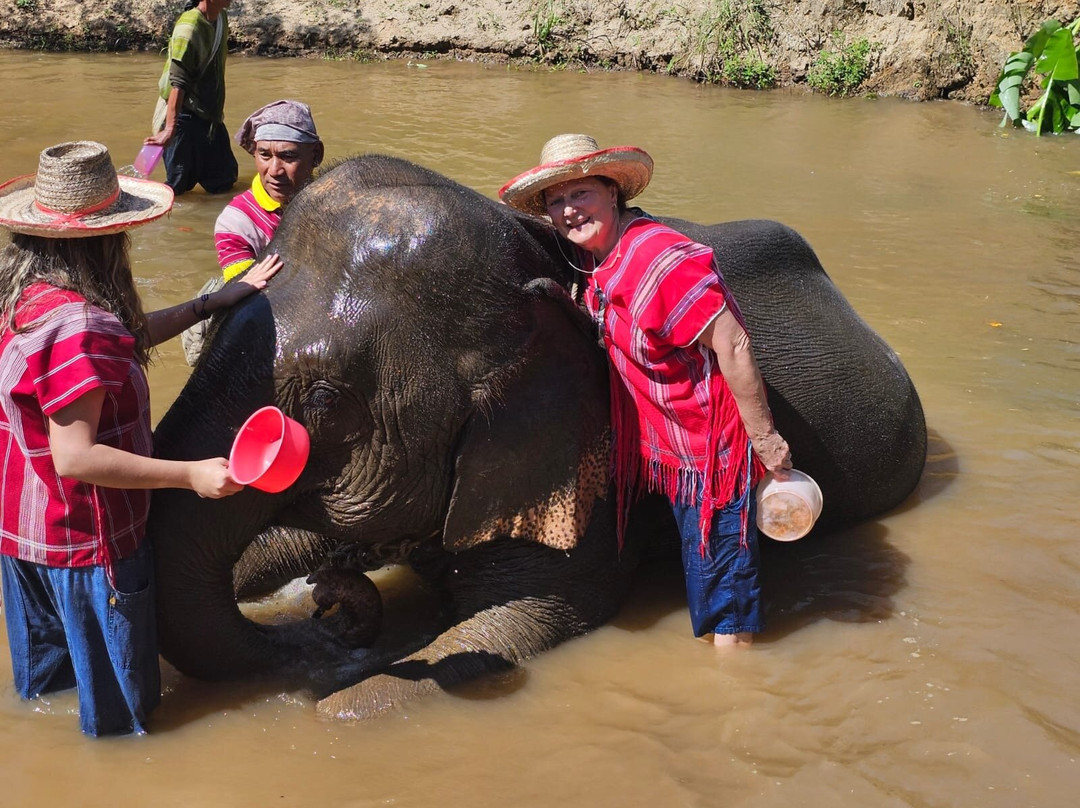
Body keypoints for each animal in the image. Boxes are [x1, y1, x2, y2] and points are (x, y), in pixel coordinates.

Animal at [147, 154, 926, 719]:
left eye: (323, 400)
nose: (333, 608)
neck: (536, 262)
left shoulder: (587, 471)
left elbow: (527, 618)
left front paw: (345, 685)